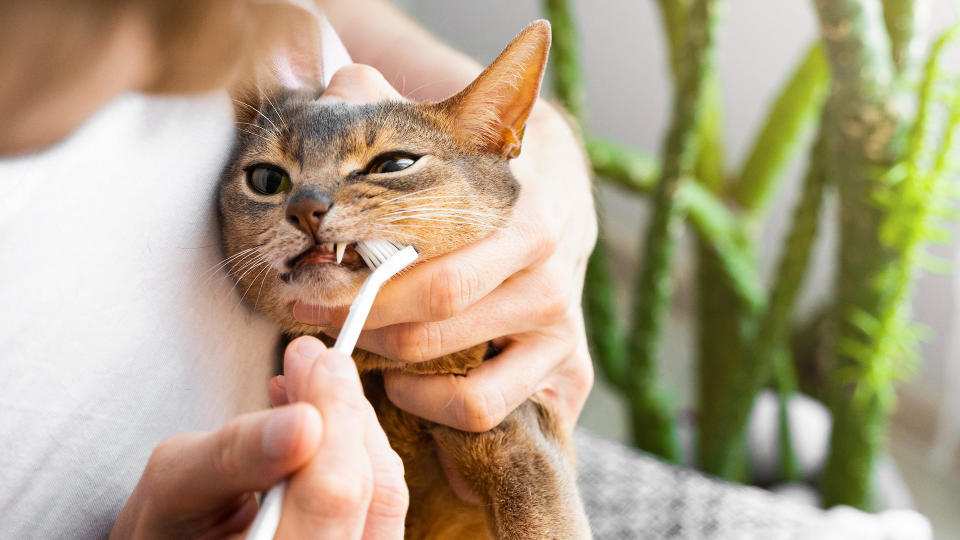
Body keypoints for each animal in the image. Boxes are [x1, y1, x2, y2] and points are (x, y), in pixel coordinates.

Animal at [220, 21, 588, 540]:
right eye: (268, 180)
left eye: (393, 165)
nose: (304, 207)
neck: (379, 376)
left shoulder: (520, 435)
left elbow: (540, 520)